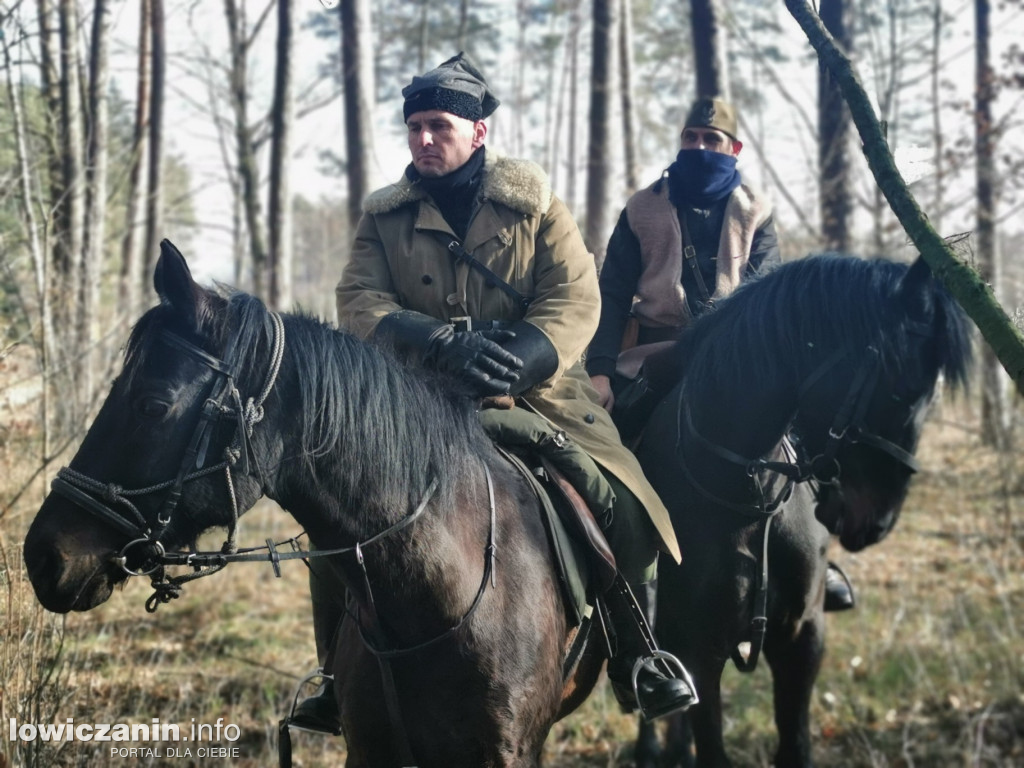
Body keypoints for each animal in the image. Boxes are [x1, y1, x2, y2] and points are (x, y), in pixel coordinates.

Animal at [626, 253, 970, 768]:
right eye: (902, 391)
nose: (877, 521)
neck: (747, 500)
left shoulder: (801, 639)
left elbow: (795, 744)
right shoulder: (701, 650)